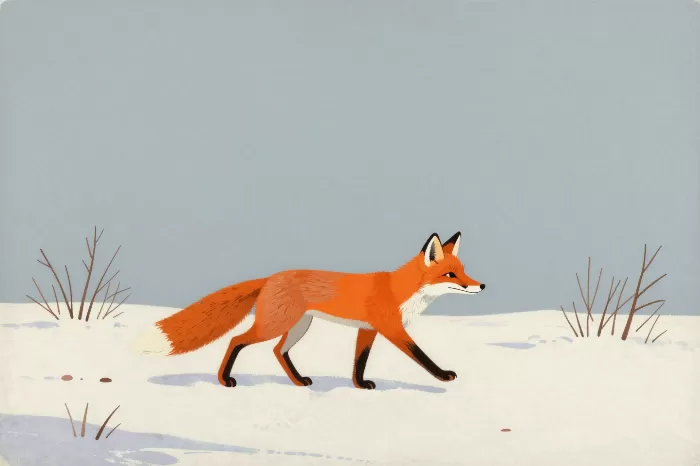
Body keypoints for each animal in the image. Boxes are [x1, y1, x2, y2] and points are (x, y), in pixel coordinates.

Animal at [136, 231, 485, 389]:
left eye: (463, 271)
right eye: (450, 275)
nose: (480, 286)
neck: (399, 290)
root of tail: (270, 277)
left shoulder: (367, 330)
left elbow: (359, 361)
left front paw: (360, 385)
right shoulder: (391, 329)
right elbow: (421, 356)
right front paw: (443, 376)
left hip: (298, 326)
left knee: (278, 351)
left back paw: (299, 381)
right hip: (275, 324)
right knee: (237, 340)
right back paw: (225, 379)